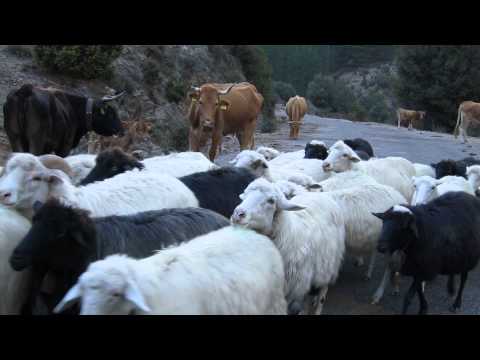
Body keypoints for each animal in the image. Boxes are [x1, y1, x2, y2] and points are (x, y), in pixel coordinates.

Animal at [232, 179, 344, 314]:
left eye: (271, 201)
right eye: (245, 195)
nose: (238, 214)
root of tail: (322, 195)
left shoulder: (298, 290)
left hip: (331, 261)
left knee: (323, 289)